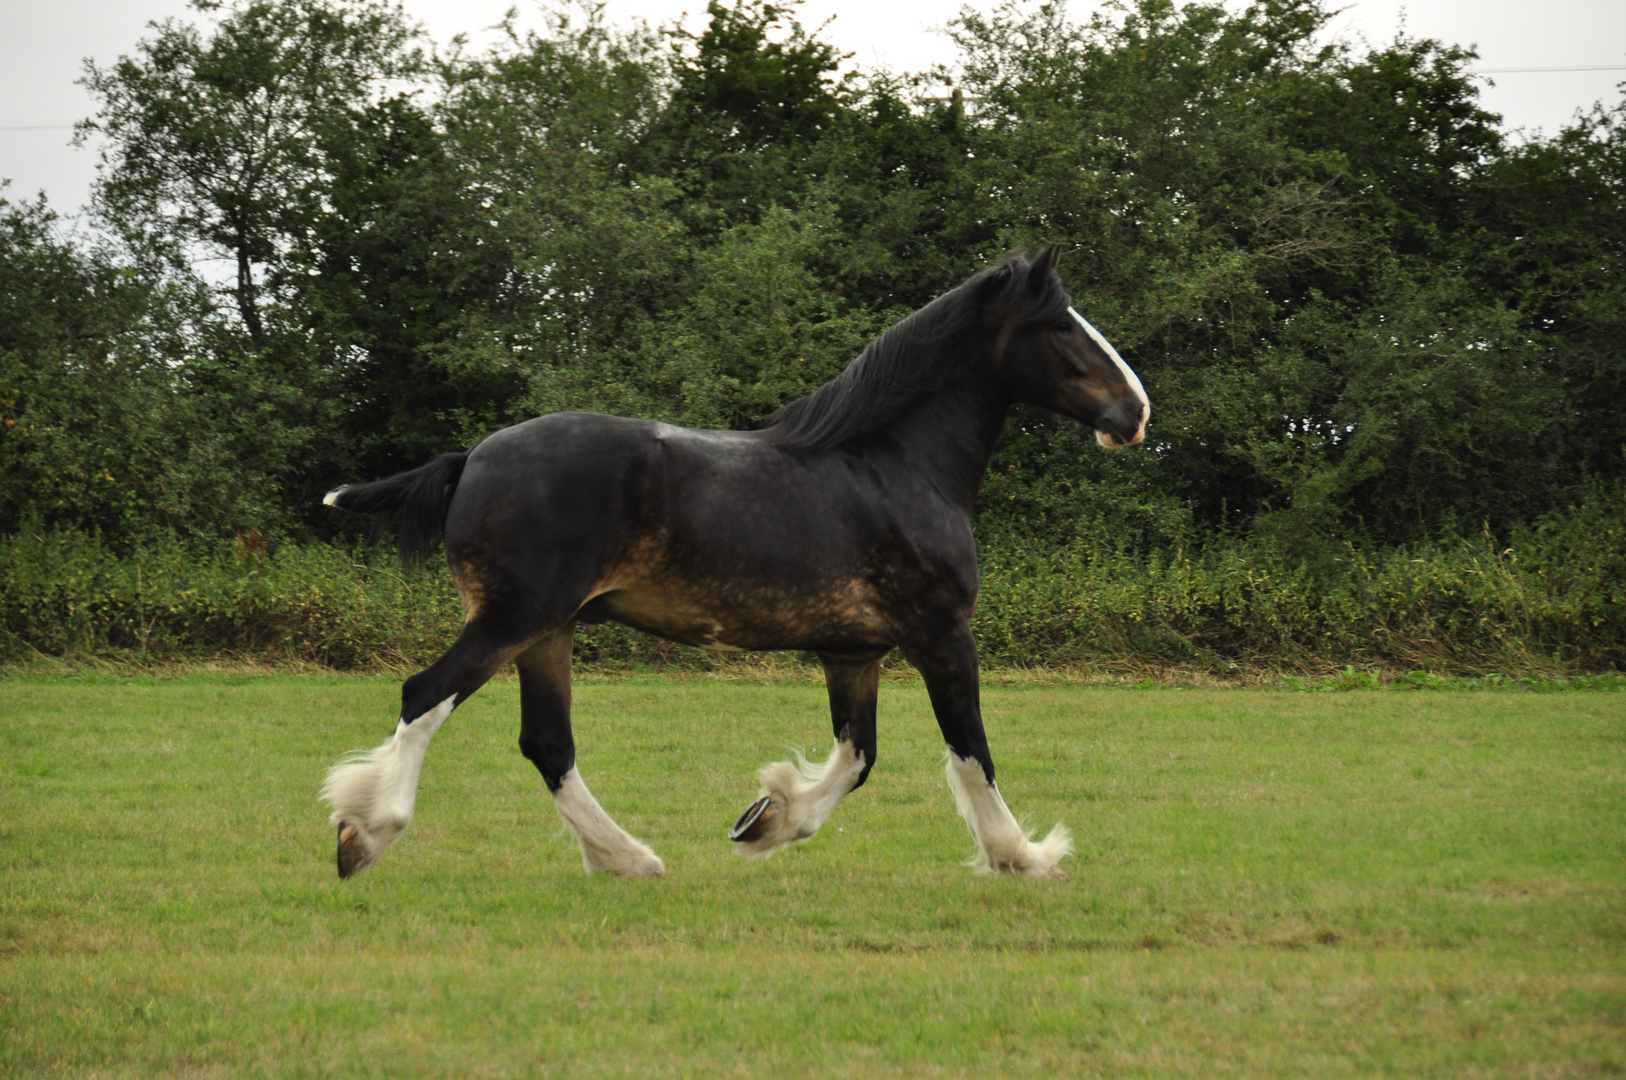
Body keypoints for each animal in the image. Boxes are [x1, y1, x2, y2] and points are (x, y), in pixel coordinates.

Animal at [323, 248, 1151, 884]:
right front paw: (1024, 857)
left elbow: (857, 756)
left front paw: (766, 818)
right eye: (1060, 324)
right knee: (426, 694)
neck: (894, 465)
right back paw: (366, 834)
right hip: (514, 618)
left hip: (548, 633)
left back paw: (628, 859)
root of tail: (472, 459)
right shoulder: (942, 635)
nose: (1137, 413)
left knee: (547, 744)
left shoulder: (854, 653)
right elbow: (970, 750)